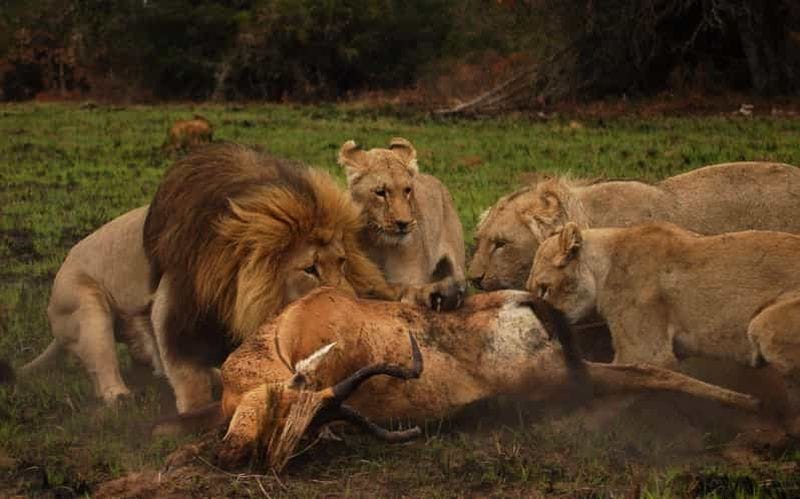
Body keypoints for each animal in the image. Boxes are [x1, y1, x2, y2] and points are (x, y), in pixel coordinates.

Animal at [528, 221, 800, 431]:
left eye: (544, 289)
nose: (540, 328)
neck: (603, 267)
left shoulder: (646, 353)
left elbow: (618, 388)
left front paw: (567, 431)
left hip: (763, 325)